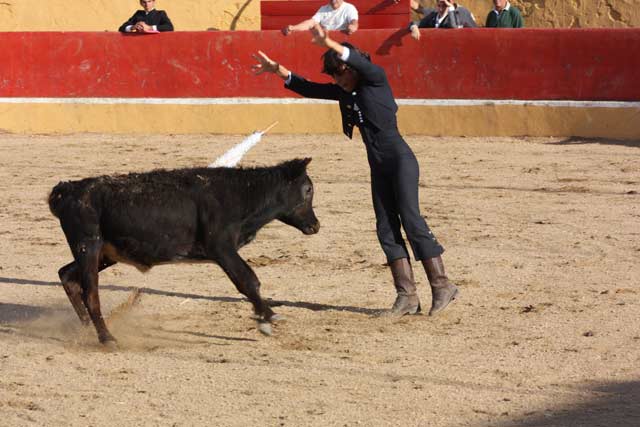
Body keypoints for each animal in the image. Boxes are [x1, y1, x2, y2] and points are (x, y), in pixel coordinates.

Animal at [48, 159, 320, 346]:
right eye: (308, 189)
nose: (315, 225)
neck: (242, 194)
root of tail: (68, 190)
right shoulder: (221, 248)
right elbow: (247, 280)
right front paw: (269, 318)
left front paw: (265, 318)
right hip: (88, 246)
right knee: (91, 292)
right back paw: (107, 338)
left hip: (104, 253)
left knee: (67, 275)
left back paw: (86, 330)